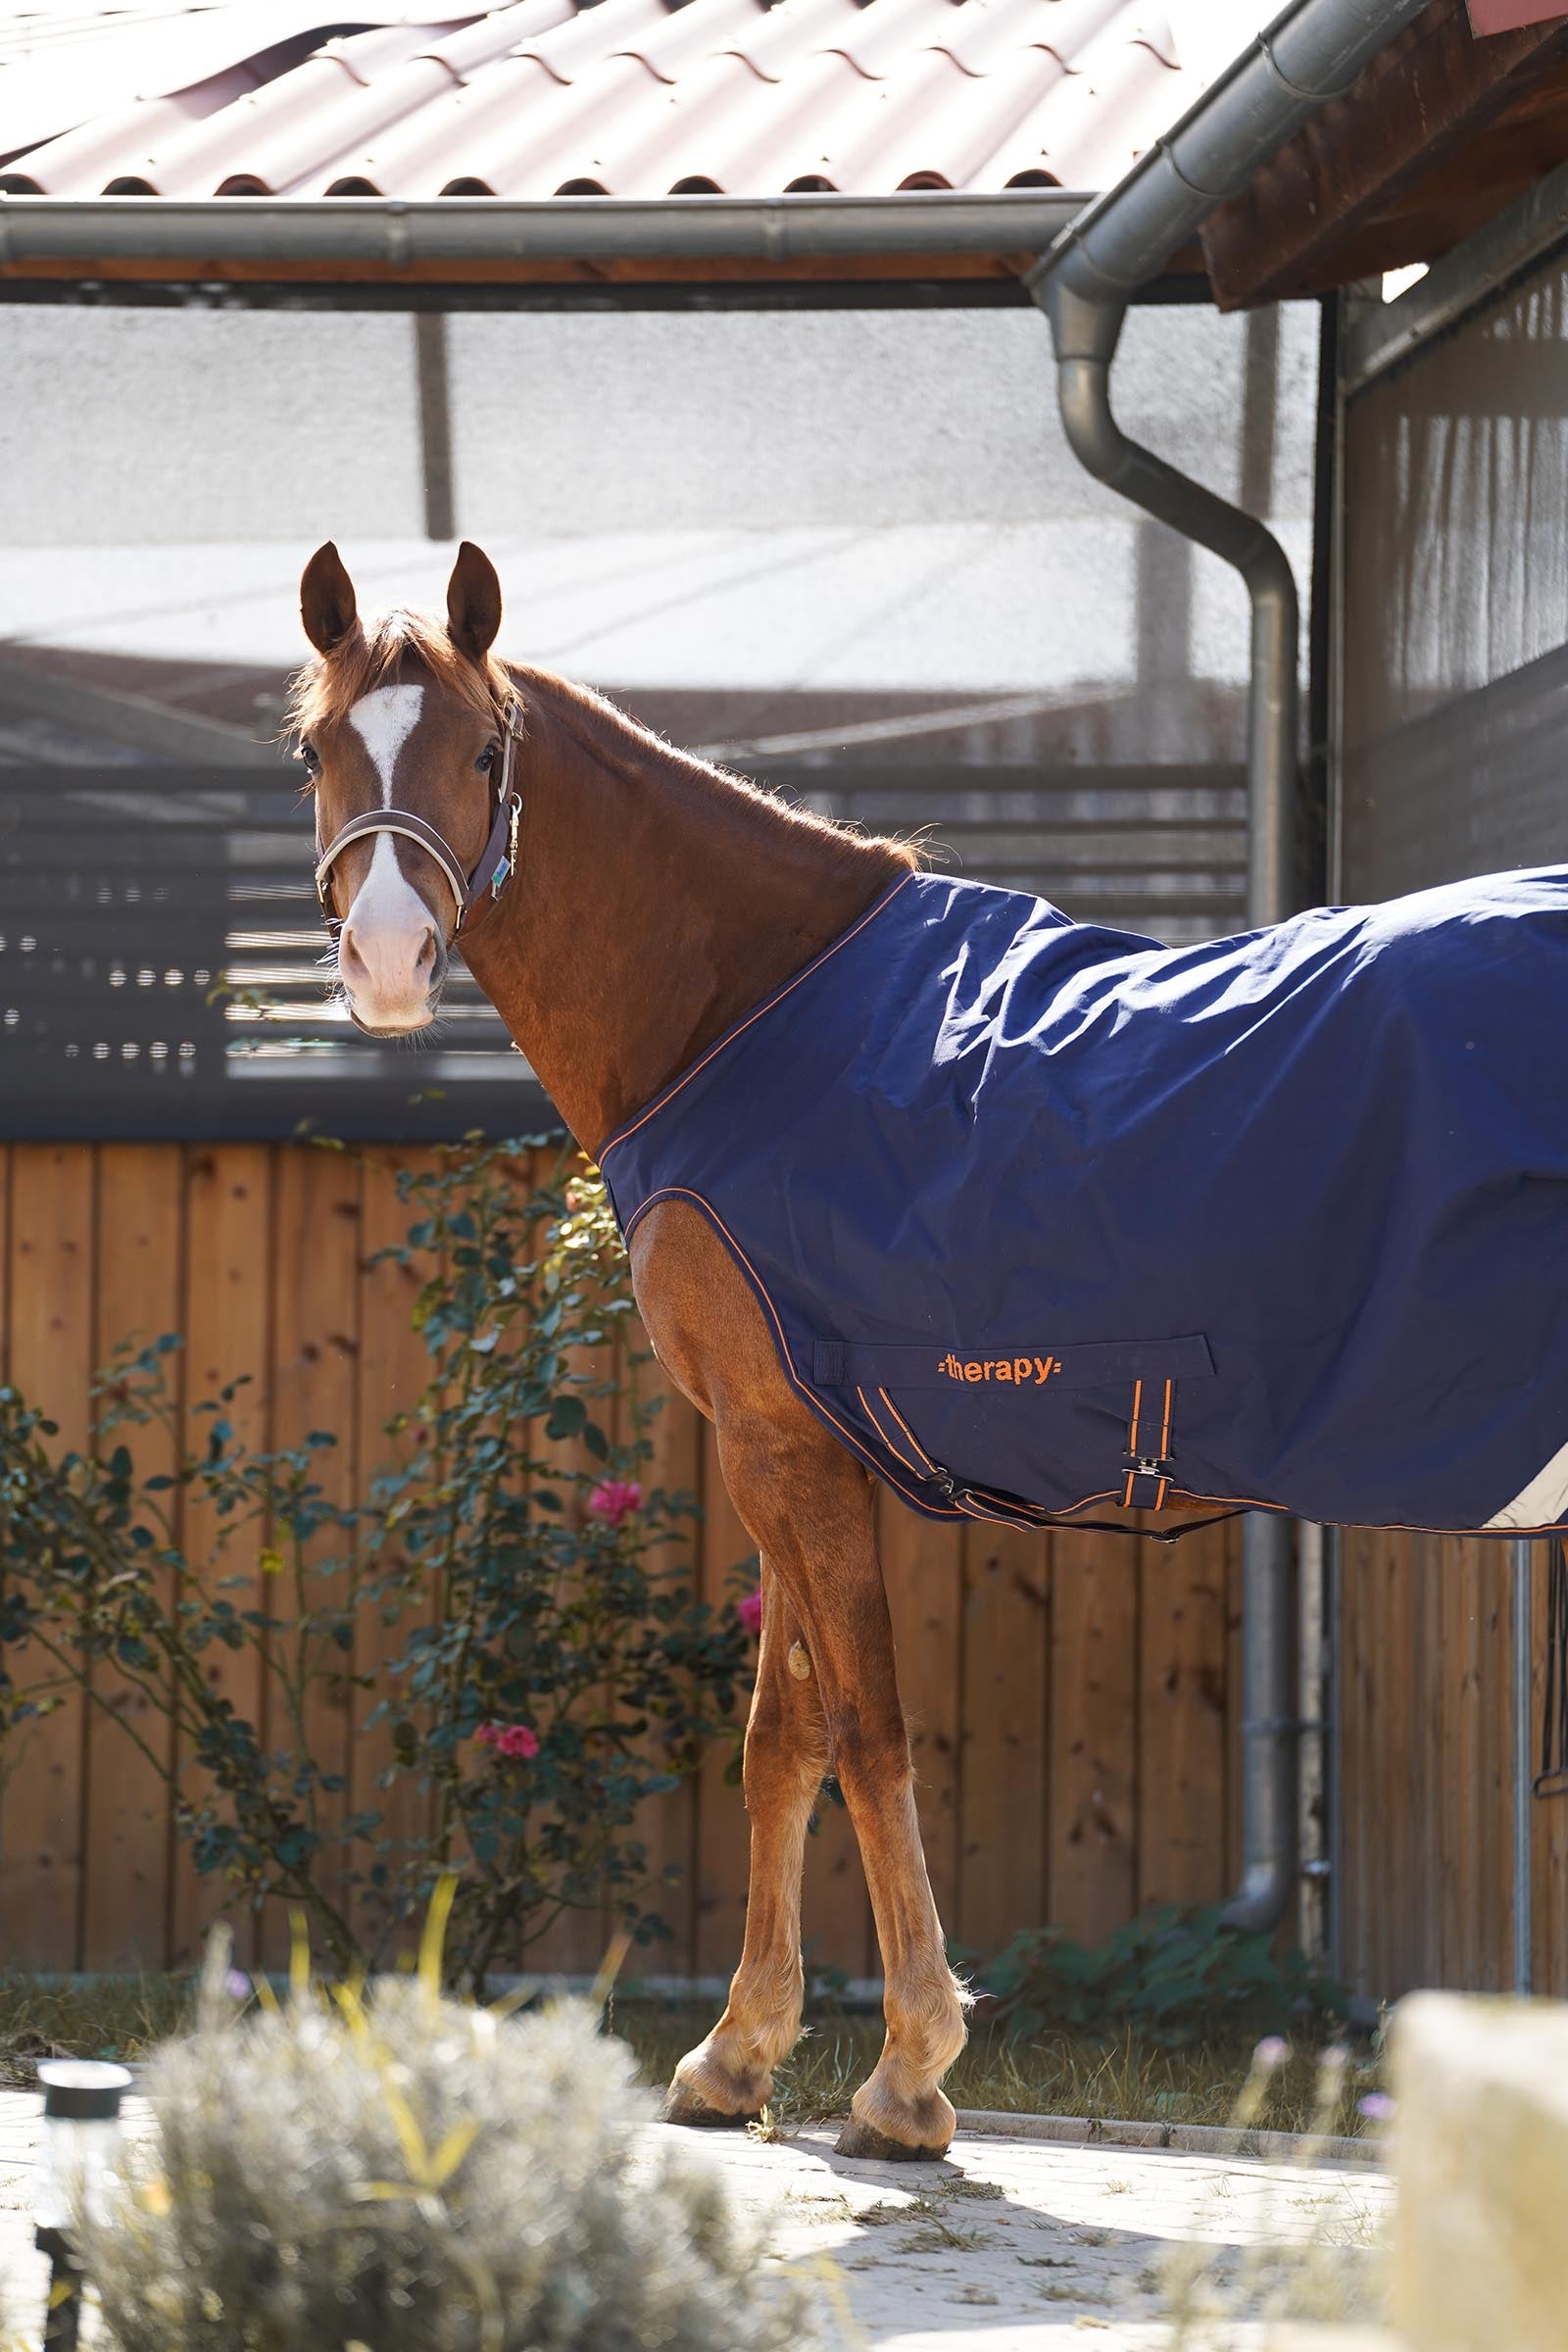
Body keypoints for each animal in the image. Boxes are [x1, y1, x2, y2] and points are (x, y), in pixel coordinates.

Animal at [291, 538, 1568, 2158]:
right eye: (317, 750)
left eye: (478, 749)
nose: (388, 958)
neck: (749, 1011)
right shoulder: (783, 1444)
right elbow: (782, 1740)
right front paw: (738, 2055)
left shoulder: (783, 1448)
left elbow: (868, 1730)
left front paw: (907, 2073)